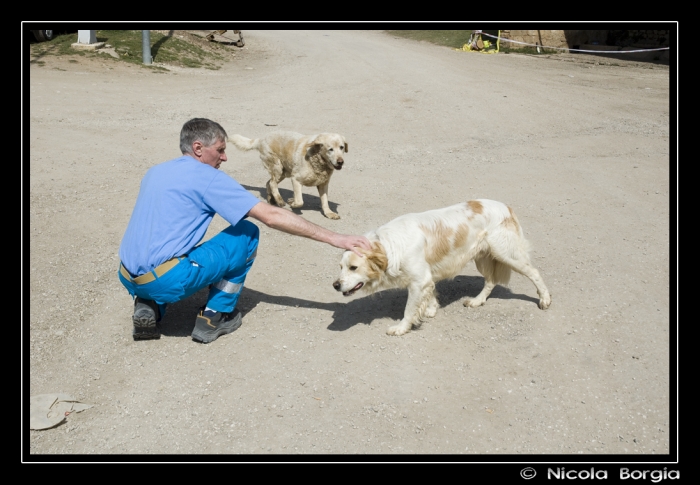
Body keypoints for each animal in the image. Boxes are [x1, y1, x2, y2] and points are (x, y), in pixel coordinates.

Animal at [334, 199, 552, 334]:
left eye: (353, 267)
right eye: (341, 266)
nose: (335, 285)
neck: (390, 247)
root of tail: (506, 206)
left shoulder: (419, 281)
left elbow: (409, 309)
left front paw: (401, 328)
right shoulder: (425, 279)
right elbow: (430, 294)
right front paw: (431, 309)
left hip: (507, 254)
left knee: (534, 272)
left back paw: (545, 299)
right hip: (482, 257)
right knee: (491, 281)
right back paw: (477, 301)